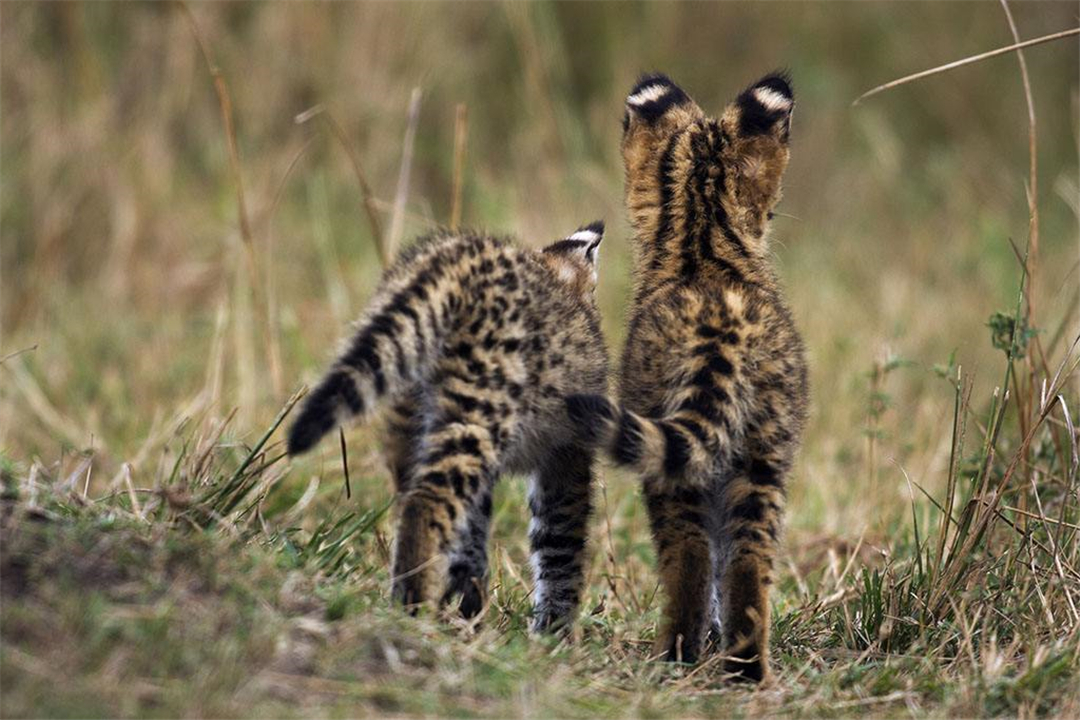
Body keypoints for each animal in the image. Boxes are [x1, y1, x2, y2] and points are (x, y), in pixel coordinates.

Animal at [287, 223, 609, 630]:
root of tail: (454, 258)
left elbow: (472, 536)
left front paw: (470, 607)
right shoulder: (567, 456)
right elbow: (560, 545)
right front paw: (554, 633)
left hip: (413, 416)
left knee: (417, 498)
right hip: (482, 406)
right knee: (426, 501)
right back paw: (411, 607)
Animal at [570, 73, 807, 682]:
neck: (703, 236)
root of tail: (719, 324)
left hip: (673, 466)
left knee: (692, 553)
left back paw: (675, 654)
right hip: (763, 451)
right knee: (748, 556)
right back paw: (746, 667)